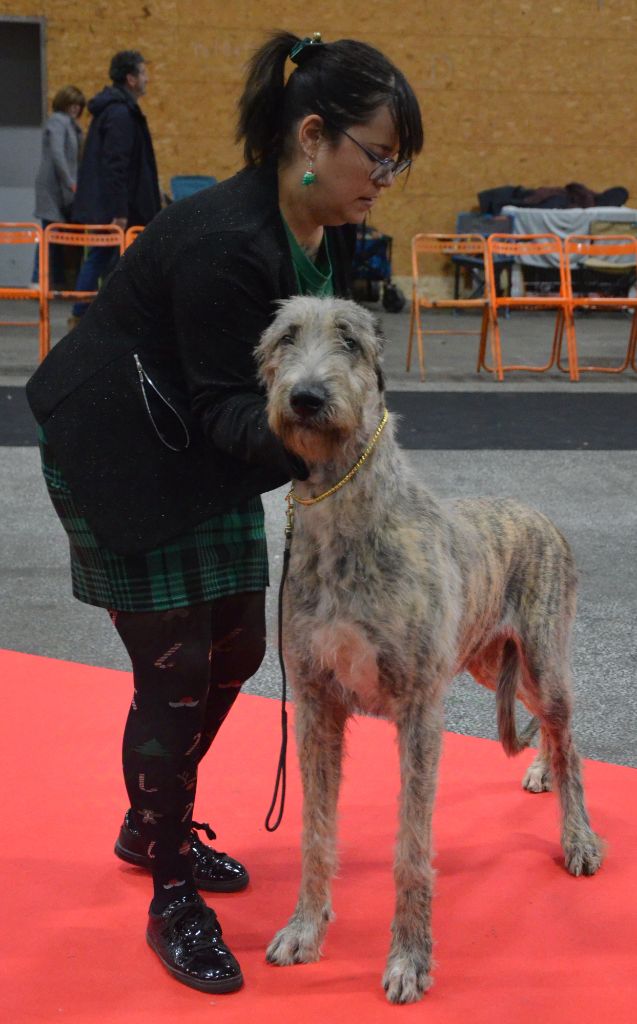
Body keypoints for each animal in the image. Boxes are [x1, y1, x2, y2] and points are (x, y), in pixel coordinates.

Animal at [257, 296, 606, 1007]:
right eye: (284, 338)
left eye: (350, 341)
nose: (306, 397)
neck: (342, 515)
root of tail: (541, 514)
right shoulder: (315, 704)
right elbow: (315, 831)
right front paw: (305, 930)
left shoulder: (420, 710)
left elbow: (412, 849)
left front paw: (410, 960)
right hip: (489, 661)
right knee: (549, 730)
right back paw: (542, 771)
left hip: (541, 657)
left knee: (569, 732)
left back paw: (578, 834)